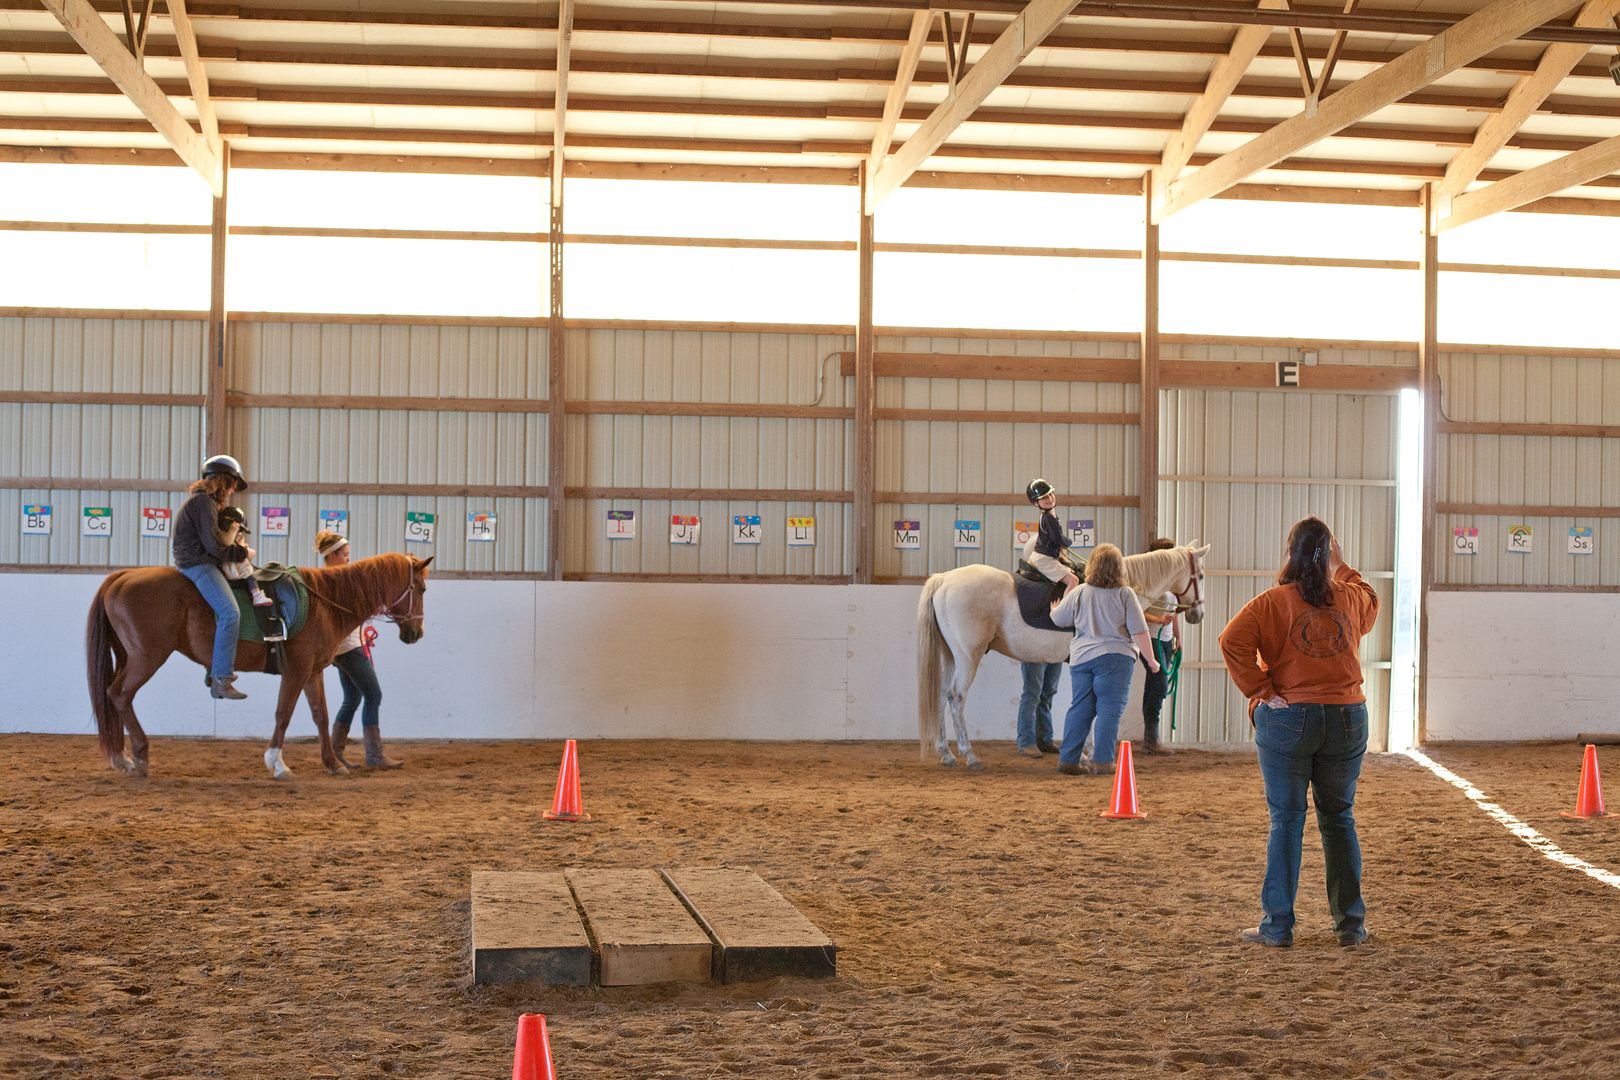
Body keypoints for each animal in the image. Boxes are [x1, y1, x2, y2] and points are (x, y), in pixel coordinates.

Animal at [87, 557, 430, 777]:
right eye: (422, 589)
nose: (416, 633)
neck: (325, 603)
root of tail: (123, 576)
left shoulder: (312, 672)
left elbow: (320, 715)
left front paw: (333, 763)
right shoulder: (296, 672)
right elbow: (284, 714)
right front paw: (277, 763)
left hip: (128, 656)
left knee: (113, 696)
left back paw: (121, 757)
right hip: (147, 657)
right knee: (119, 695)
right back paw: (139, 755)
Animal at [920, 550, 1211, 767]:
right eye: (1201, 575)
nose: (1198, 614)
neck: (1113, 585)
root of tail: (944, 579)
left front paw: (1084, 752)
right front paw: (1088, 754)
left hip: (950, 656)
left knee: (941, 695)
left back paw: (946, 754)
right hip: (968, 657)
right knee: (956, 698)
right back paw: (969, 755)